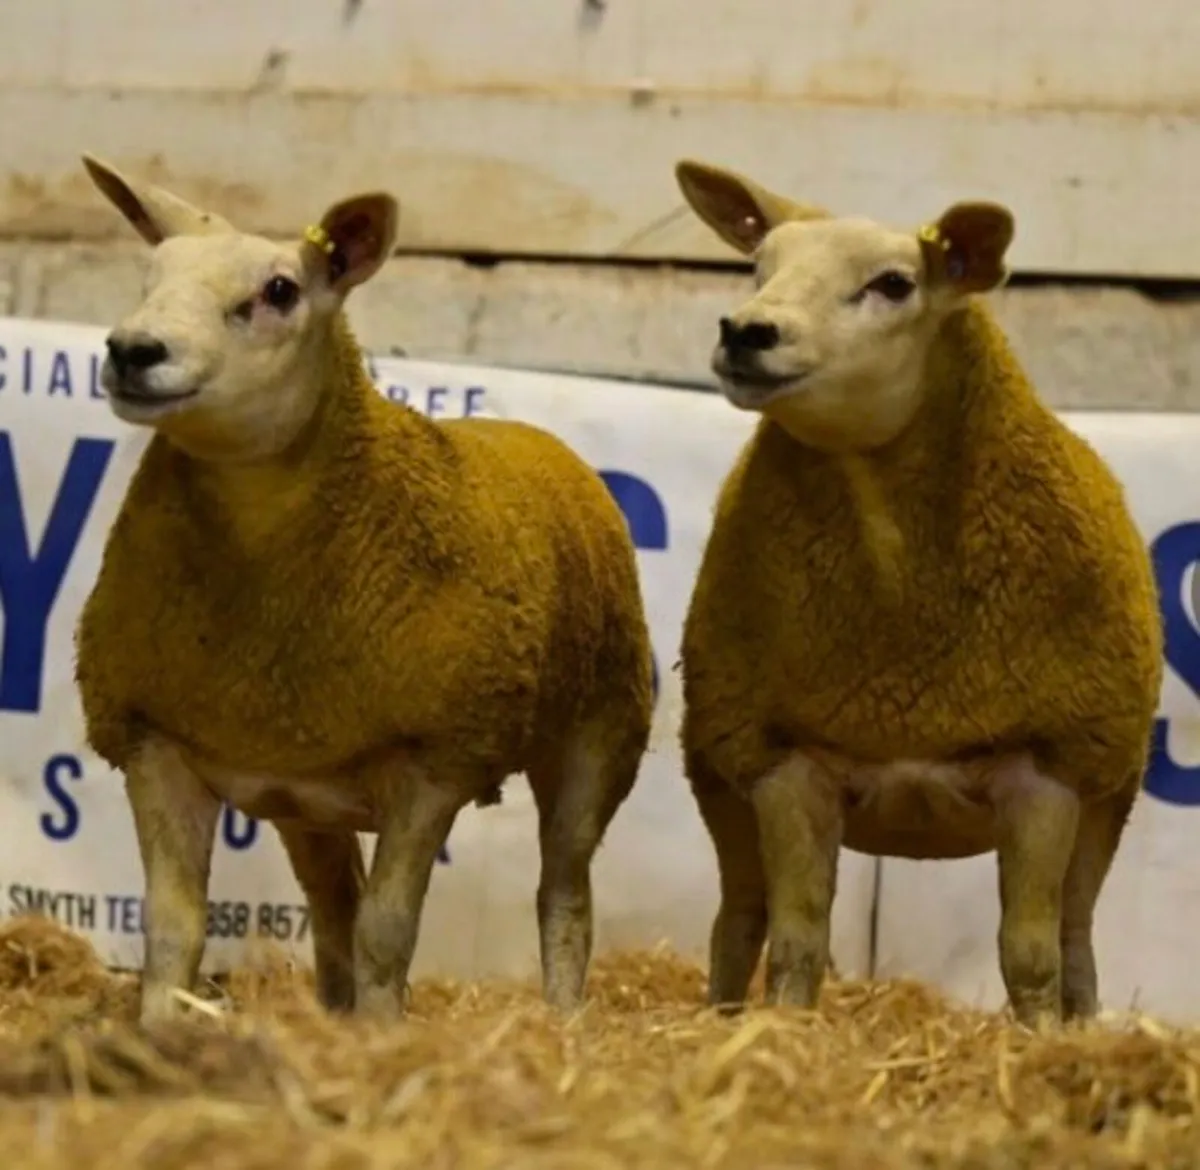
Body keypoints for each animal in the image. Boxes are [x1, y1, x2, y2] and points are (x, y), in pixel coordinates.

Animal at [72, 155, 654, 1026]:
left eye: (280, 290)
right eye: (150, 277)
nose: (133, 350)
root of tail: (534, 434)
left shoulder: (432, 764)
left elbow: (388, 929)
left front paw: (386, 1034)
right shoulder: (156, 742)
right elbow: (174, 925)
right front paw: (156, 1029)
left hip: (601, 733)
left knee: (563, 891)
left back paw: (560, 1018)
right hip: (304, 794)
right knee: (332, 899)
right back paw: (335, 1012)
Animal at [672, 158, 1163, 1029]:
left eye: (895, 284)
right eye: (759, 265)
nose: (746, 332)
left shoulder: (1046, 771)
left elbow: (1029, 953)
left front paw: (1040, 1039)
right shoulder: (786, 762)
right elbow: (797, 940)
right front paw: (784, 1031)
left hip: (1109, 786)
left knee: (1075, 932)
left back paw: (1082, 1023)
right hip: (719, 768)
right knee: (739, 919)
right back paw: (722, 1017)